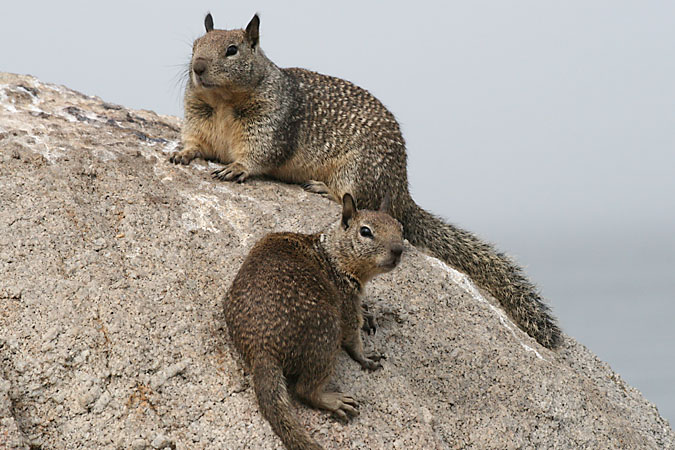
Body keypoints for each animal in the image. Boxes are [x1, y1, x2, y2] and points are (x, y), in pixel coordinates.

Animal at [172, 11, 564, 348]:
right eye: (194, 45)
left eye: (232, 49)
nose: (197, 67)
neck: (223, 102)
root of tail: (402, 188)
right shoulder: (199, 118)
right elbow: (194, 140)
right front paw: (181, 153)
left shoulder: (271, 123)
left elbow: (260, 154)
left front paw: (237, 167)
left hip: (358, 169)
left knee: (357, 197)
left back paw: (322, 188)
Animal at [224, 193, 404, 450]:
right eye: (365, 231)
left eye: (401, 228)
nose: (399, 250)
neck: (332, 253)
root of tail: (260, 348)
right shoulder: (346, 299)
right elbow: (353, 332)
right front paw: (365, 356)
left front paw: (370, 313)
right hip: (326, 332)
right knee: (304, 390)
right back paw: (333, 401)